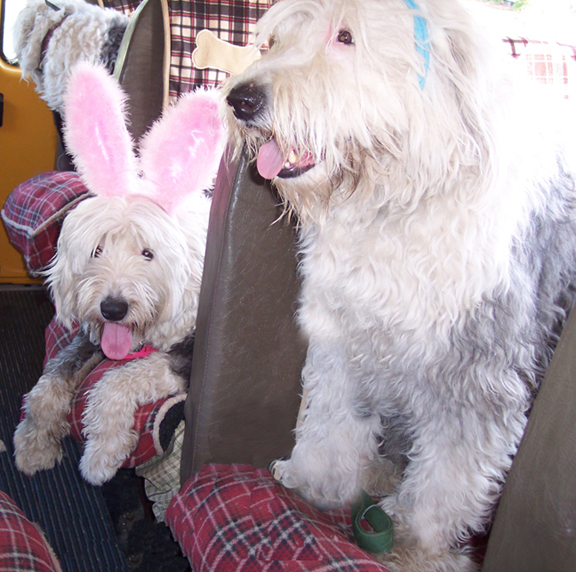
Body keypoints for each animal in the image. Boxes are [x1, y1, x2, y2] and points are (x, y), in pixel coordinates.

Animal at [14, 63, 224, 486]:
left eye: (148, 253)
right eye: (97, 249)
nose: (113, 309)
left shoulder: (188, 356)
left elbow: (117, 379)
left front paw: (100, 457)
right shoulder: (90, 337)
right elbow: (49, 384)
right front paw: (33, 447)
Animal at [225, 0, 576, 570]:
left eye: (345, 36)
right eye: (274, 40)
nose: (240, 99)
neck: (396, 203)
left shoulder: (476, 377)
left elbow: (447, 477)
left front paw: (413, 544)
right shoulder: (343, 335)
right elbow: (331, 417)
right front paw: (314, 479)